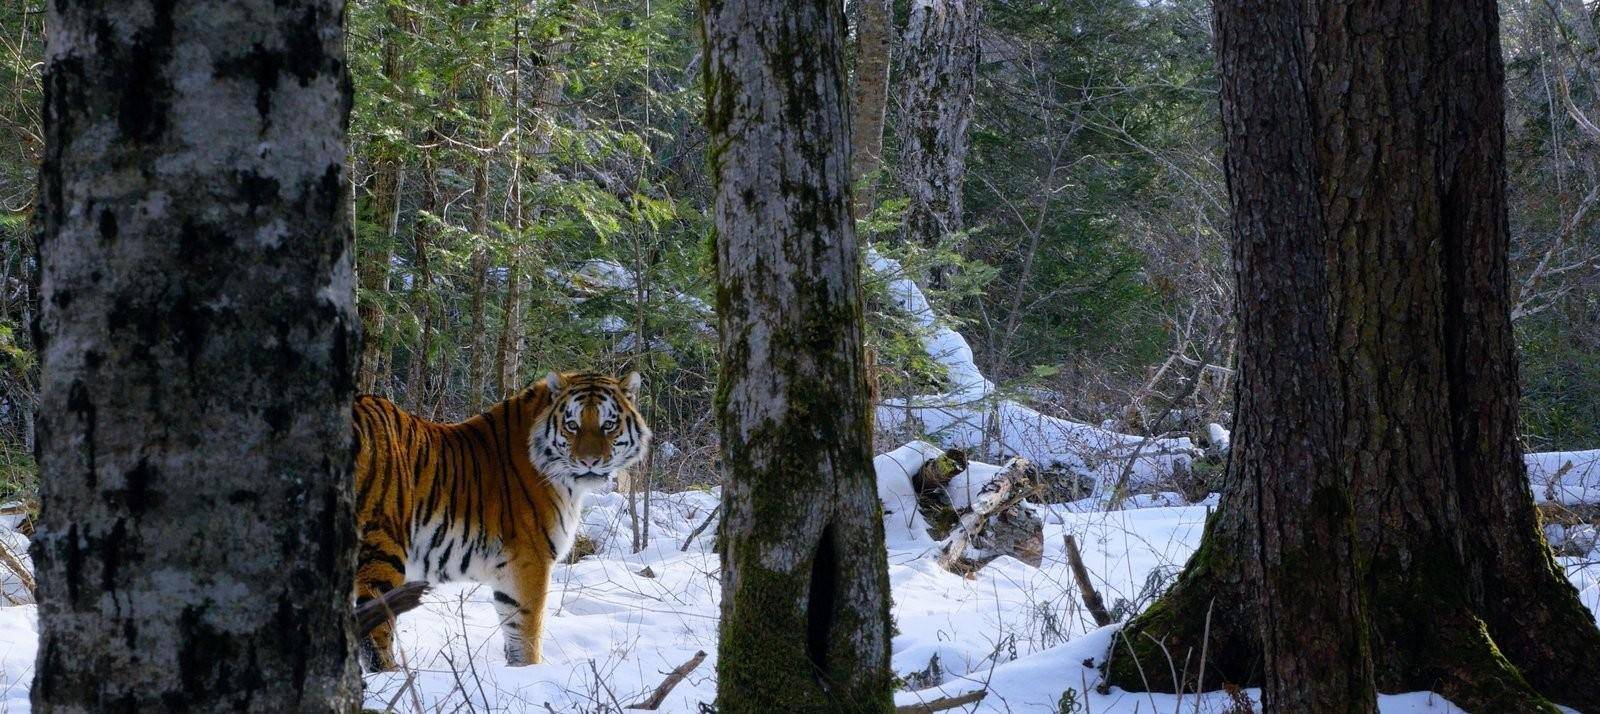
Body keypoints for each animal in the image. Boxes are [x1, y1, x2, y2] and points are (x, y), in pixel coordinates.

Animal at [352, 371, 649, 672]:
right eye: (572, 425)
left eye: (608, 425)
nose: (589, 461)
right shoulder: (530, 561)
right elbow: (527, 631)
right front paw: (530, 670)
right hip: (383, 547)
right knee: (375, 627)